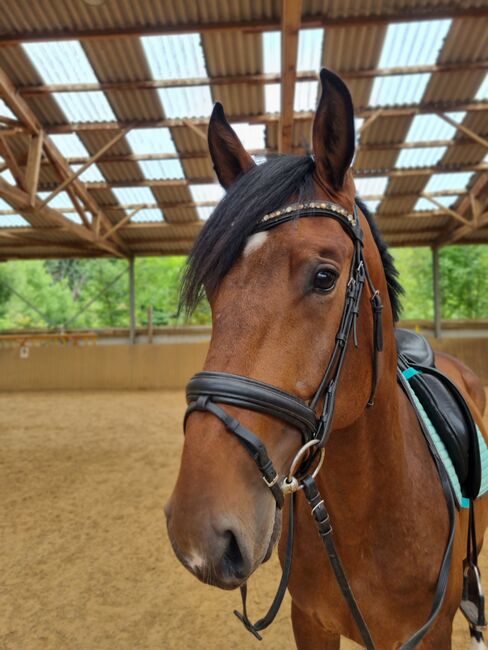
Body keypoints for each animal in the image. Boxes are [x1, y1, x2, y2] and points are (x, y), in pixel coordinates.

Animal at [165, 68, 488, 644]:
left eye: (324, 277)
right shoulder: (309, 622)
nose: (200, 533)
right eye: (213, 287)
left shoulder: (431, 634)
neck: (369, 515)